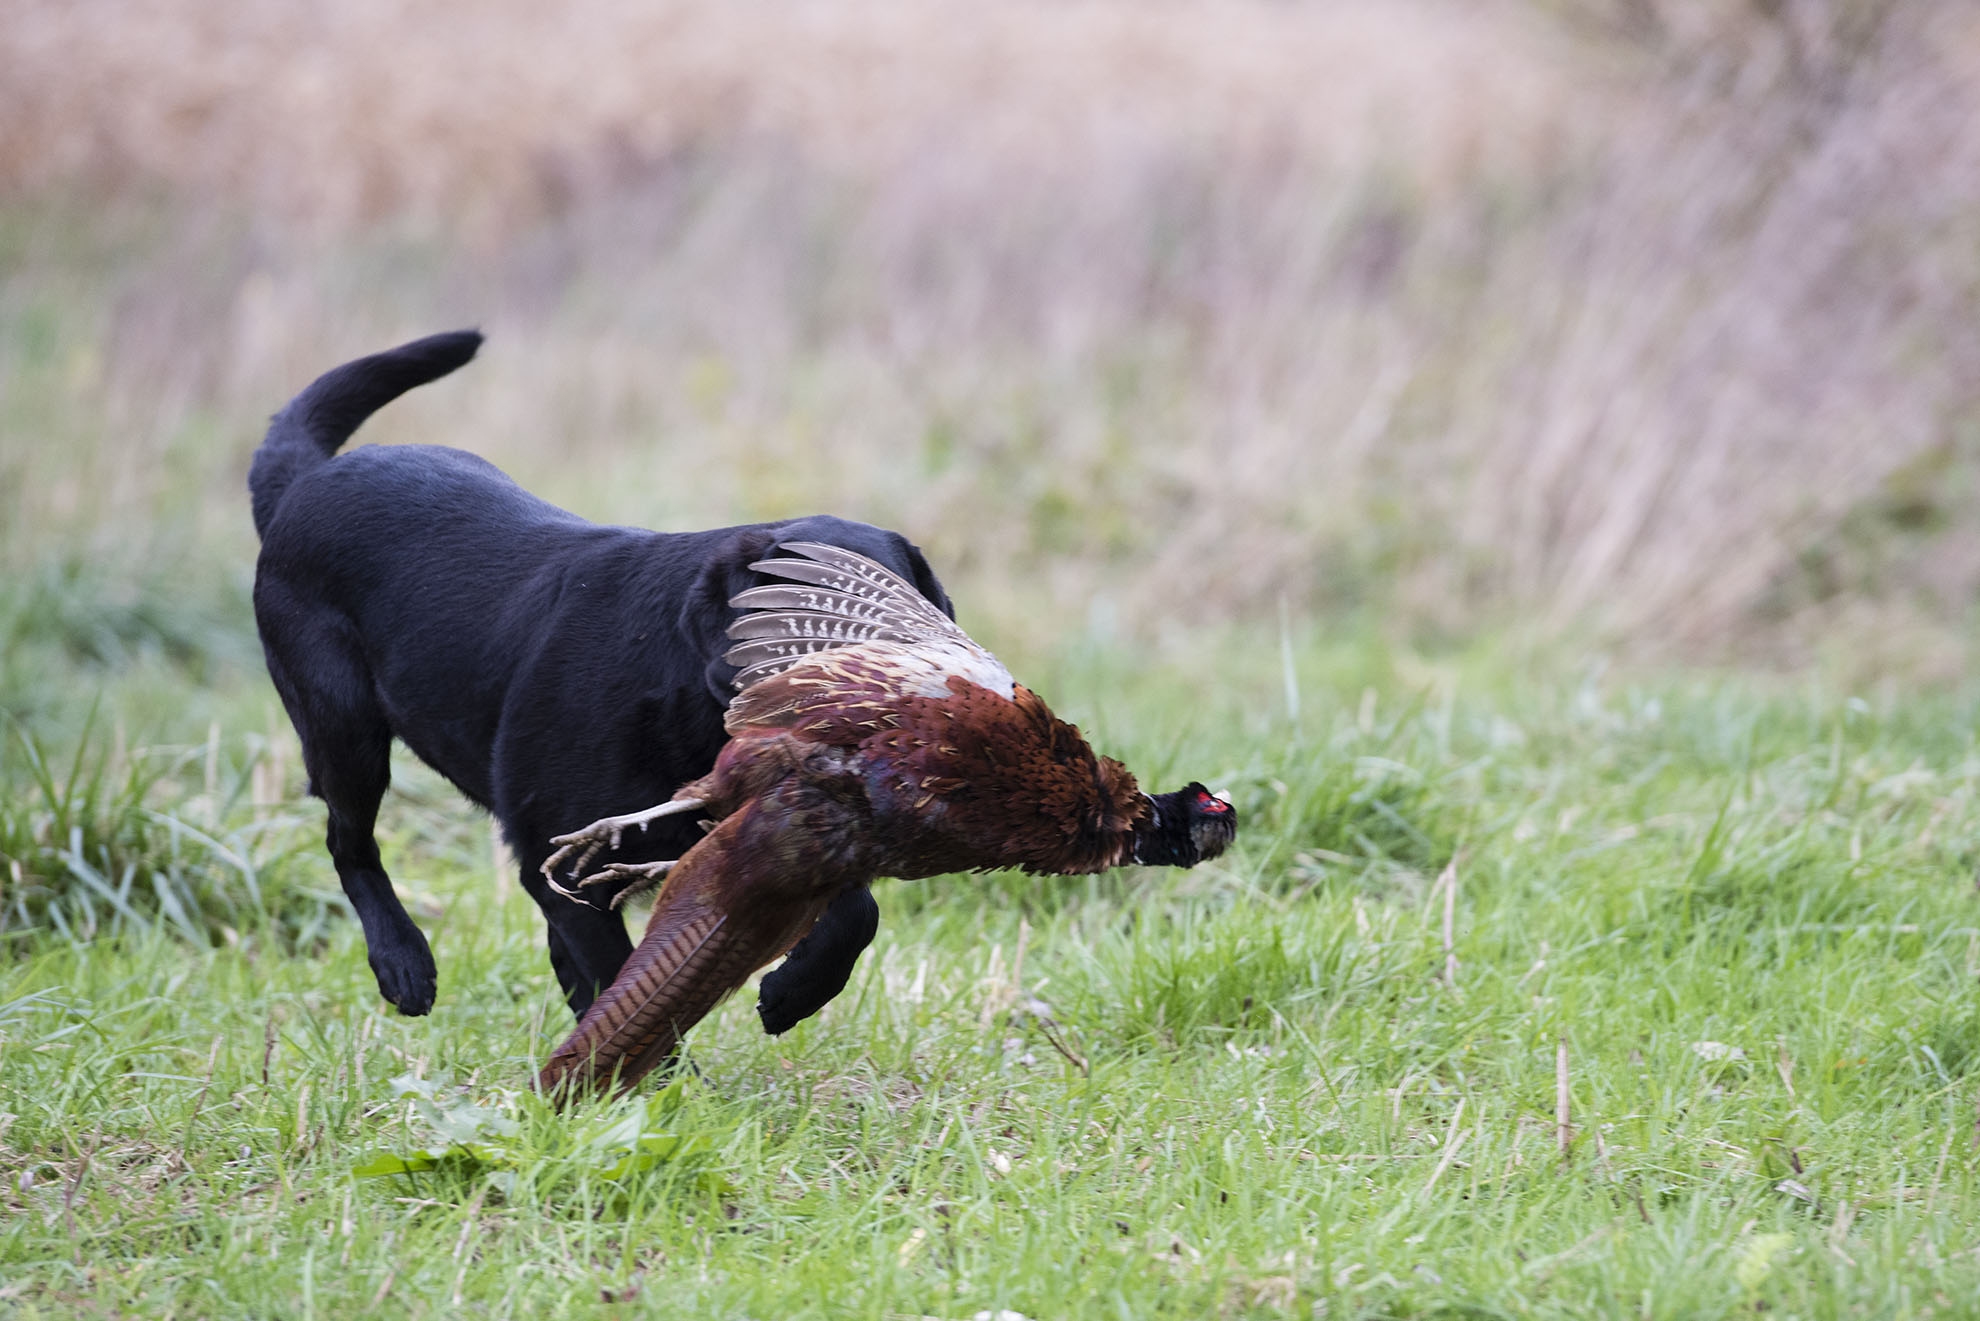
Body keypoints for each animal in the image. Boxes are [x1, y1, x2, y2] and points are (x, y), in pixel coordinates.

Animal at [249, 332, 950, 1029]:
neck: (688, 711)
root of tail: (306, 482)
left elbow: (857, 911)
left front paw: (792, 992)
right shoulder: (559, 851)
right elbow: (625, 988)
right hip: (344, 729)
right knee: (348, 841)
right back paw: (403, 963)